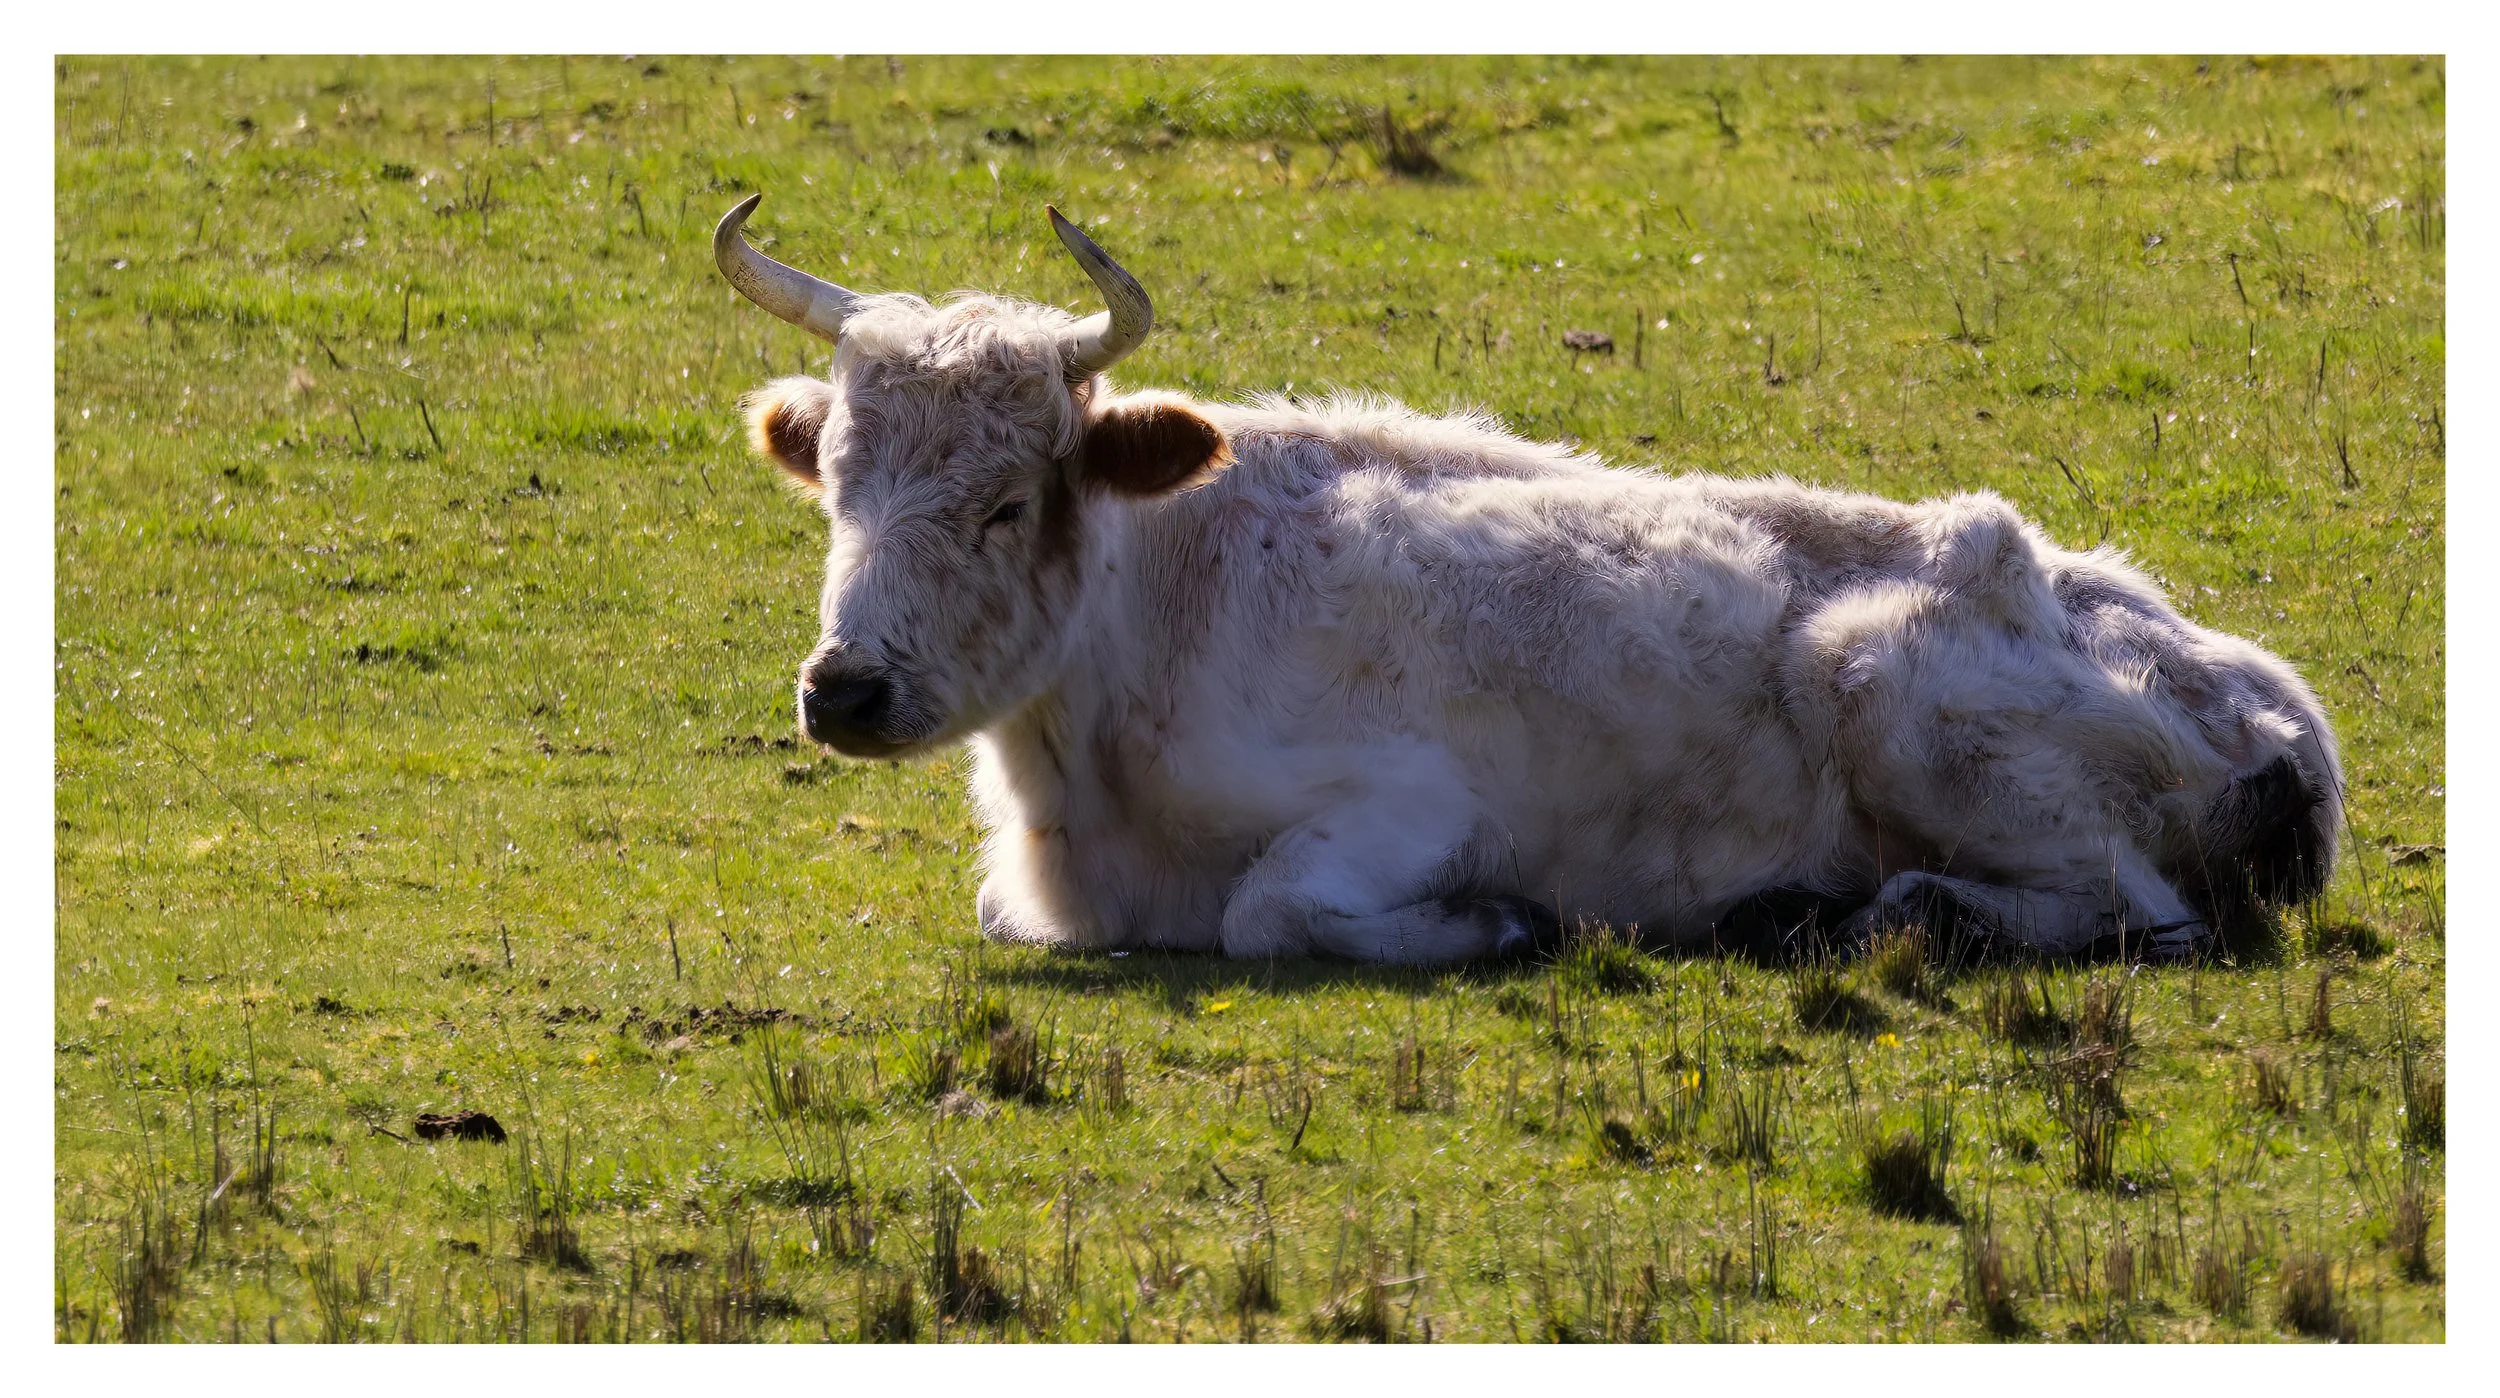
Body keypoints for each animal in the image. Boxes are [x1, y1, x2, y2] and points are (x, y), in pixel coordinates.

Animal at [713, 194, 2341, 966]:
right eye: (838, 484)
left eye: (1005, 503)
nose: (844, 688)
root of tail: (2260, 694)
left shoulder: (1412, 804)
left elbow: (1270, 908)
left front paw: (1502, 925)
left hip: (1887, 682)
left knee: (2142, 913)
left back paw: (1886, 913)